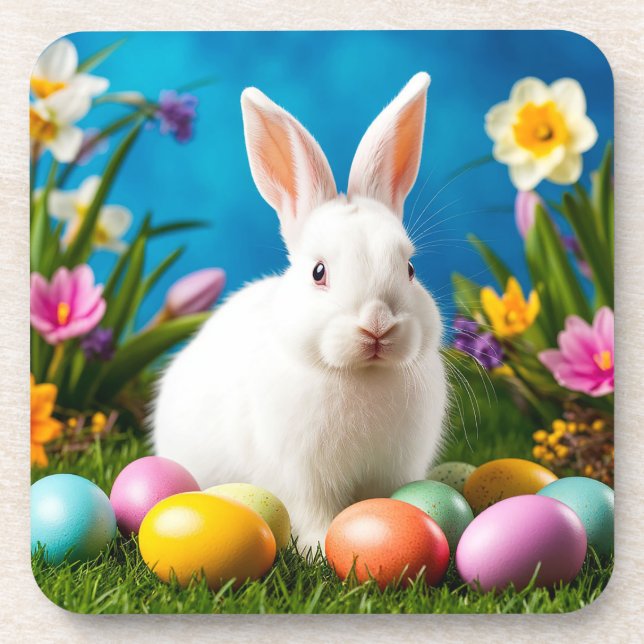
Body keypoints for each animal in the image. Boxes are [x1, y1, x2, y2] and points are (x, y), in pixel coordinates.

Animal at [152, 72, 448, 552]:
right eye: (318, 272)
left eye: (410, 269)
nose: (378, 325)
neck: (359, 374)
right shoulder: (302, 480)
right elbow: (312, 515)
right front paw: (321, 550)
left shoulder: (394, 470)